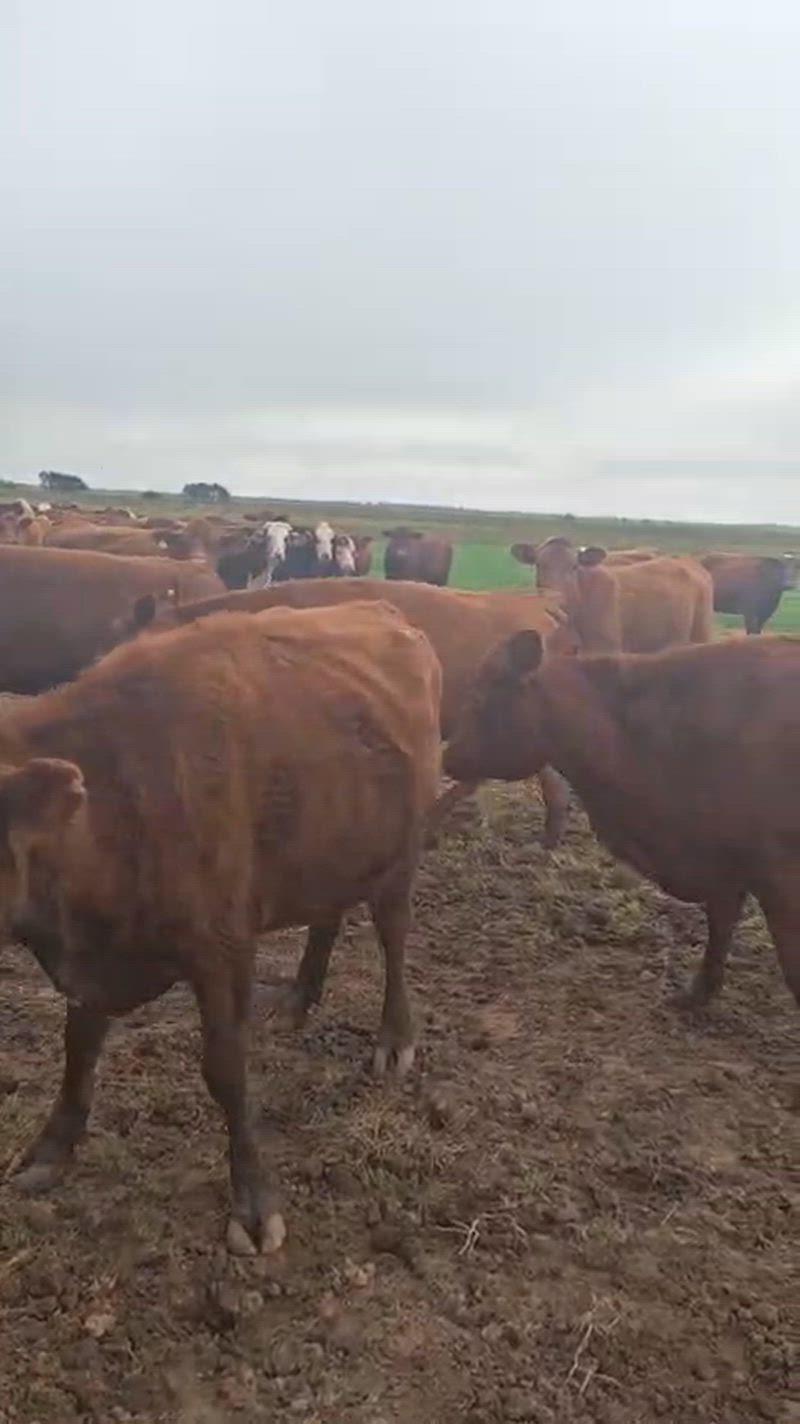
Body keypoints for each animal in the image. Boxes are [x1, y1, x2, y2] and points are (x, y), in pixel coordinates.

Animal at [0, 601, 441, 1252]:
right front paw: (51, 1152)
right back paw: (299, 998)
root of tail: (385, 611)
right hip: (326, 846)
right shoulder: (91, 956)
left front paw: (254, 1204)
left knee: (393, 932)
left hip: (398, 852)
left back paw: (393, 1037)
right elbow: (78, 1047)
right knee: (326, 915)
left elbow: (226, 1070)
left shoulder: (223, 948)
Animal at [444, 632, 800, 1015]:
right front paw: (695, 996)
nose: (447, 756)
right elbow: (719, 928)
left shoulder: (777, 878)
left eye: (478, 697)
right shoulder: (722, 863)